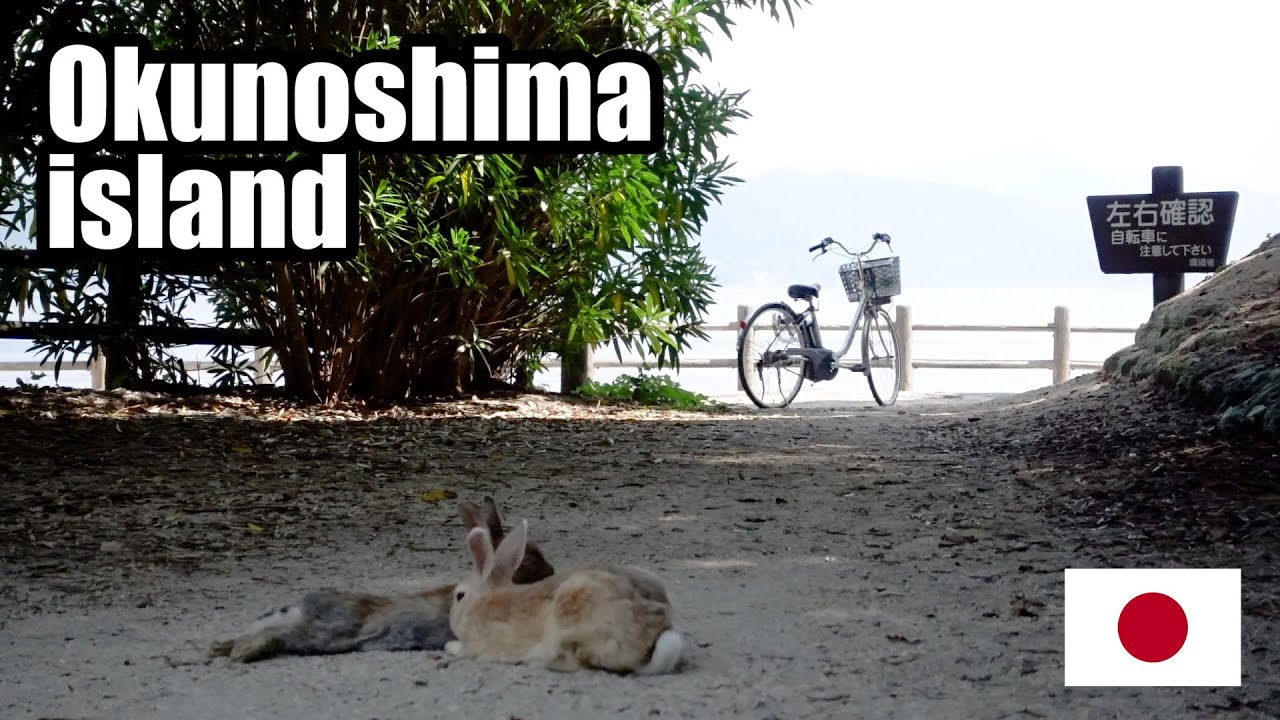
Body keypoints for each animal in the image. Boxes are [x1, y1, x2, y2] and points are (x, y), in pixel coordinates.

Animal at [209, 497, 555, 663]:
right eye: (531, 558)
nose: (551, 571)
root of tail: (300, 606)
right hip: (328, 631)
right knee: (276, 634)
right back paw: (240, 652)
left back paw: (221, 647)